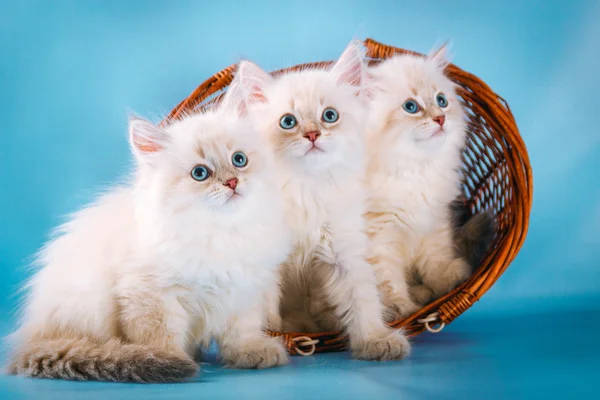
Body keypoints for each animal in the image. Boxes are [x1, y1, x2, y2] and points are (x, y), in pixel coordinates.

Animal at [6, 91, 292, 382]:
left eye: (239, 160)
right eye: (200, 173)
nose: (232, 183)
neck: (222, 232)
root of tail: (30, 339)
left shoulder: (245, 289)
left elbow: (241, 330)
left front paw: (251, 352)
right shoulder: (150, 293)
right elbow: (159, 336)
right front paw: (168, 359)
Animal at [229, 41, 408, 362]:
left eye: (330, 116)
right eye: (288, 122)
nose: (312, 134)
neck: (305, 187)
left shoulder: (343, 252)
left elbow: (362, 299)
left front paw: (375, 340)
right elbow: (262, 305)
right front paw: (263, 337)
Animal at [364, 43, 476, 318]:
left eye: (441, 101)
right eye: (411, 107)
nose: (440, 119)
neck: (414, 169)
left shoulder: (434, 223)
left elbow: (436, 264)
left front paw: (449, 282)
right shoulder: (378, 238)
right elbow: (388, 281)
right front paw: (402, 309)